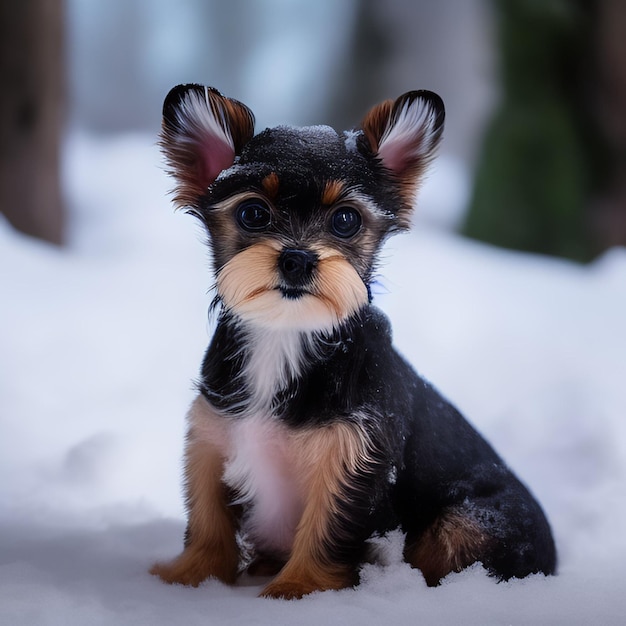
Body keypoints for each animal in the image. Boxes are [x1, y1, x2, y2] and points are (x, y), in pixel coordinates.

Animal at [151, 83, 556, 596]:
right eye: (252, 213)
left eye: (346, 220)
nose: (298, 258)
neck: (287, 335)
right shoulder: (213, 435)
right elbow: (208, 517)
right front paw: (191, 575)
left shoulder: (353, 458)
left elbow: (327, 527)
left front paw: (298, 589)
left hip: (472, 523)